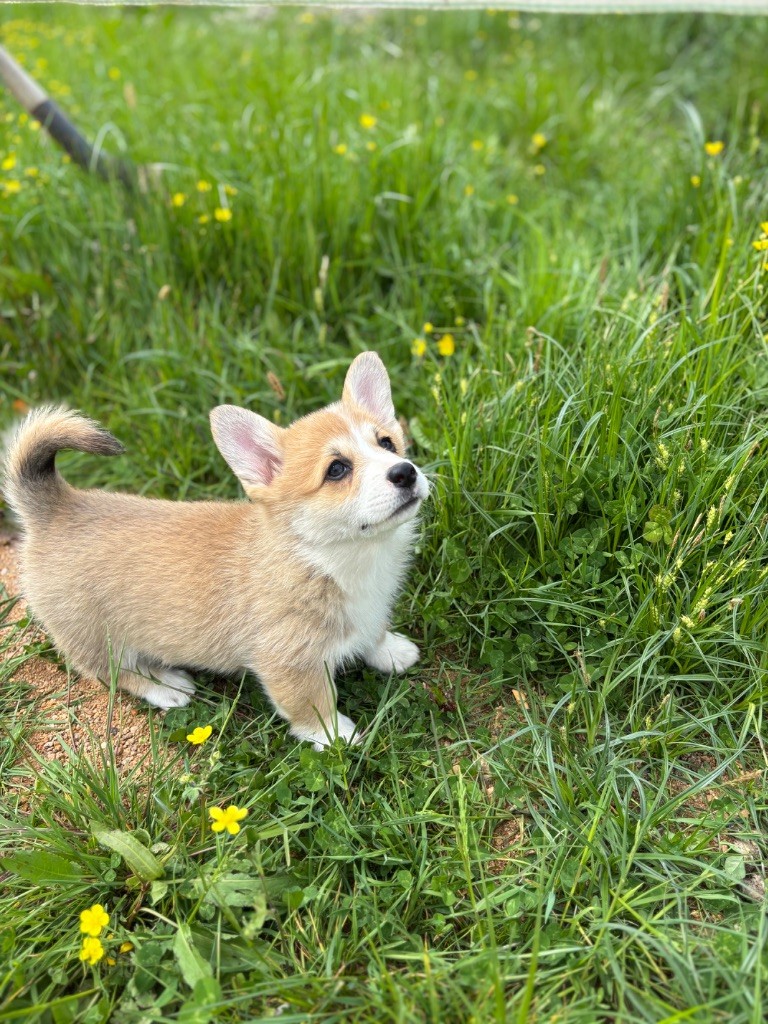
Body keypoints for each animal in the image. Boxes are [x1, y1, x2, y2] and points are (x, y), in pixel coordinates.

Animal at [3, 352, 429, 747]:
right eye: (337, 469)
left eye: (388, 443)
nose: (405, 472)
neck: (333, 557)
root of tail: (58, 506)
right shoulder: (289, 665)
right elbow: (313, 705)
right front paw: (337, 737)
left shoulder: (370, 611)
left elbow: (372, 633)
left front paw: (391, 651)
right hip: (99, 640)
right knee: (111, 672)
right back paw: (167, 686)